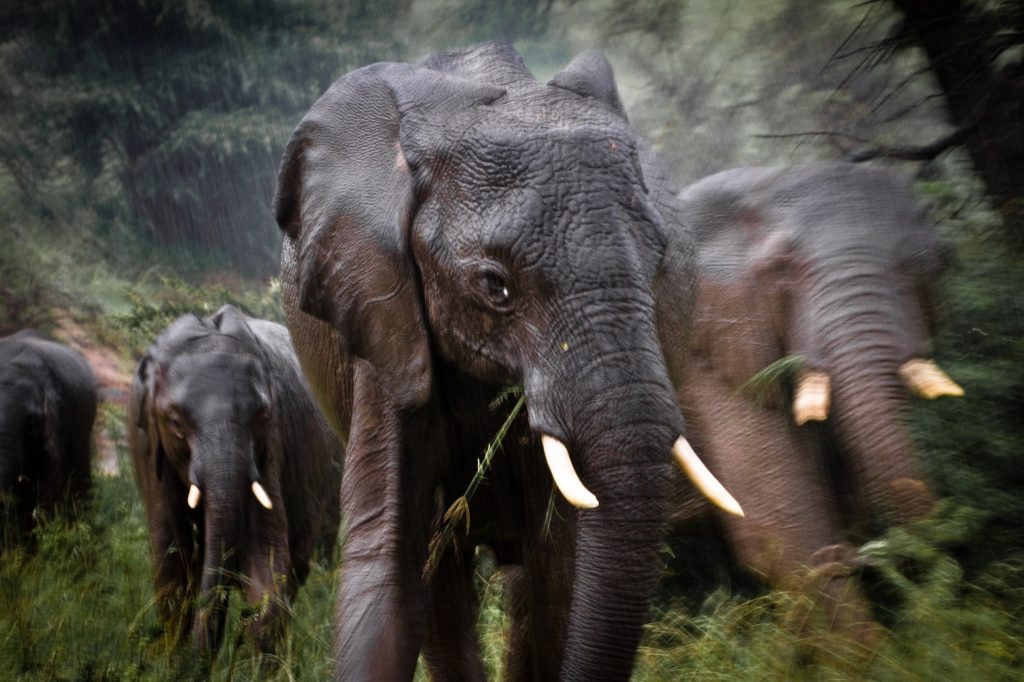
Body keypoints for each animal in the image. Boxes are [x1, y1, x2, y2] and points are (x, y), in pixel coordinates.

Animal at [128, 303, 342, 659]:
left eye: (262, 417)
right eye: (175, 423)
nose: (200, 662)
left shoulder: (270, 445)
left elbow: (264, 560)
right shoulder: (147, 443)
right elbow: (172, 562)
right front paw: (175, 660)